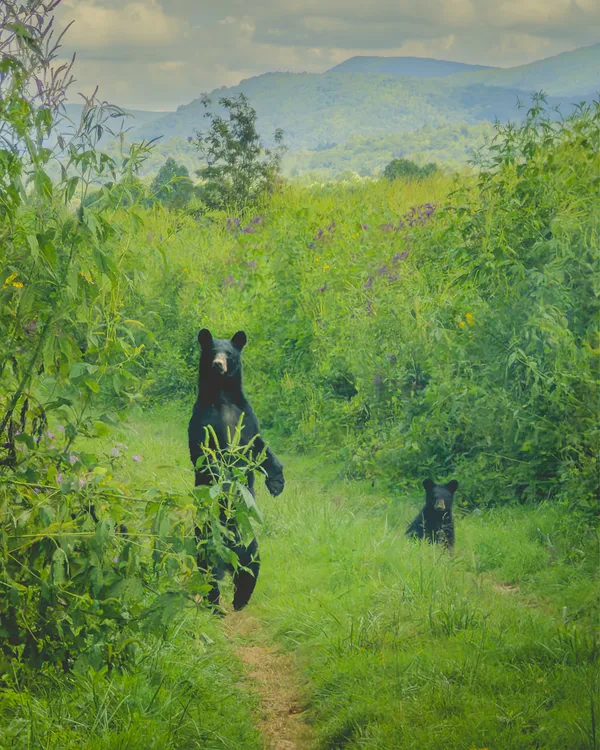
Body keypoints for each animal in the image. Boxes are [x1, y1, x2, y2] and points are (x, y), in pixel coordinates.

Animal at [188, 328, 284, 612]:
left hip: (249, 544)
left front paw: (277, 482)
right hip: (207, 539)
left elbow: (260, 447)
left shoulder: (247, 417)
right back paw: (216, 607)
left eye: (229, 353)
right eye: (212, 351)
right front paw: (227, 481)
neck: (223, 398)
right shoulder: (202, 420)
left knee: (251, 568)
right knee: (209, 573)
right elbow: (205, 455)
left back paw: (240, 601)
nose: (218, 365)